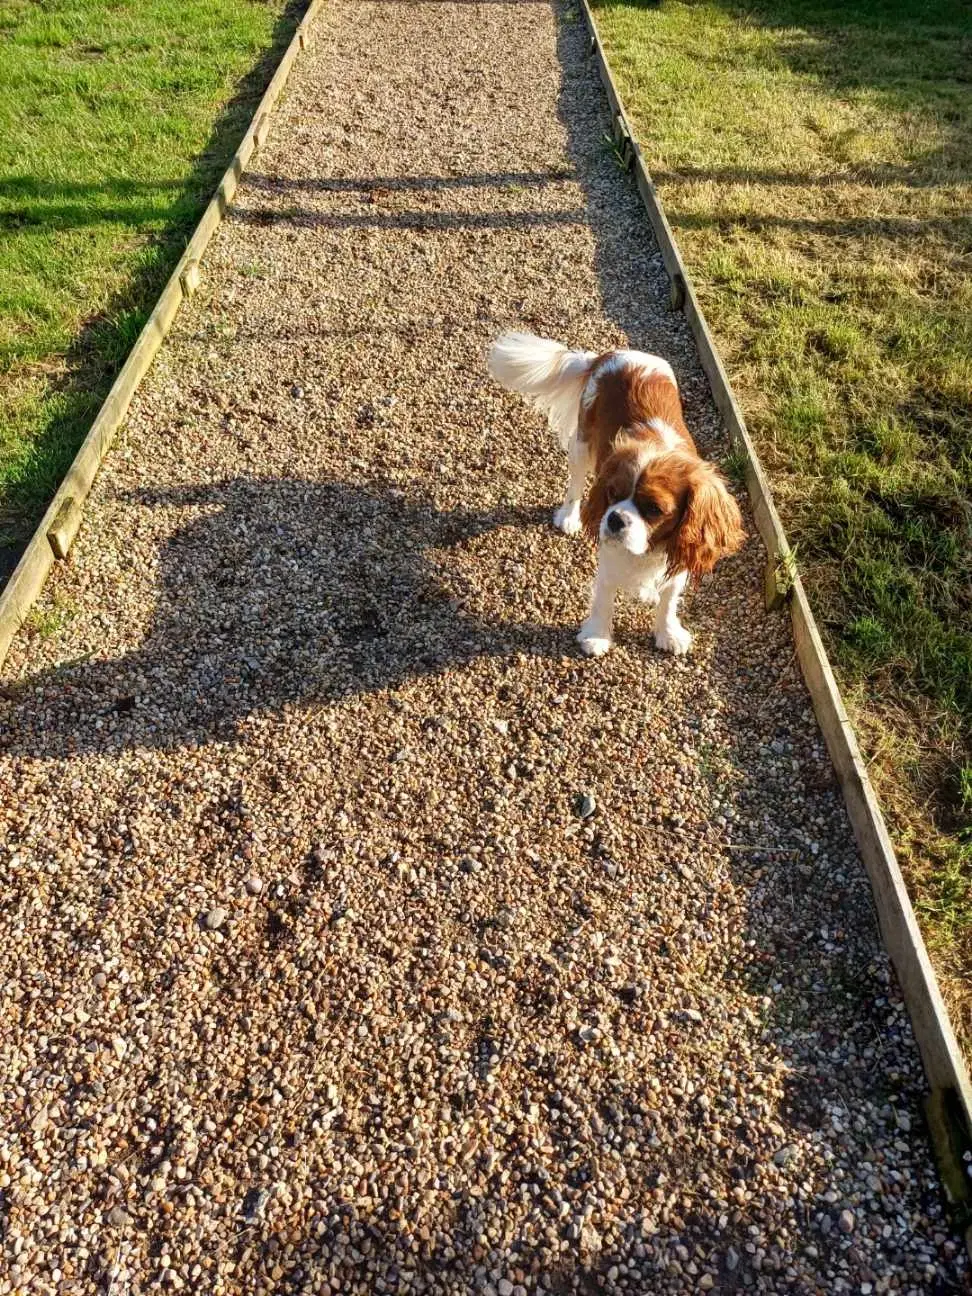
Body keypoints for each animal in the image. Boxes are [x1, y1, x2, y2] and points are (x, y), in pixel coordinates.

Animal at [487, 334, 746, 658]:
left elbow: (669, 598)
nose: (614, 519)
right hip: (582, 446)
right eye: (612, 493)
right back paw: (569, 517)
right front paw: (596, 636)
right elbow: (604, 596)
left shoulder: (682, 553)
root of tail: (610, 355)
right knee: (575, 485)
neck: (648, 550)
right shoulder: (609, 555)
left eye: (654, 509)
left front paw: (668, 632)